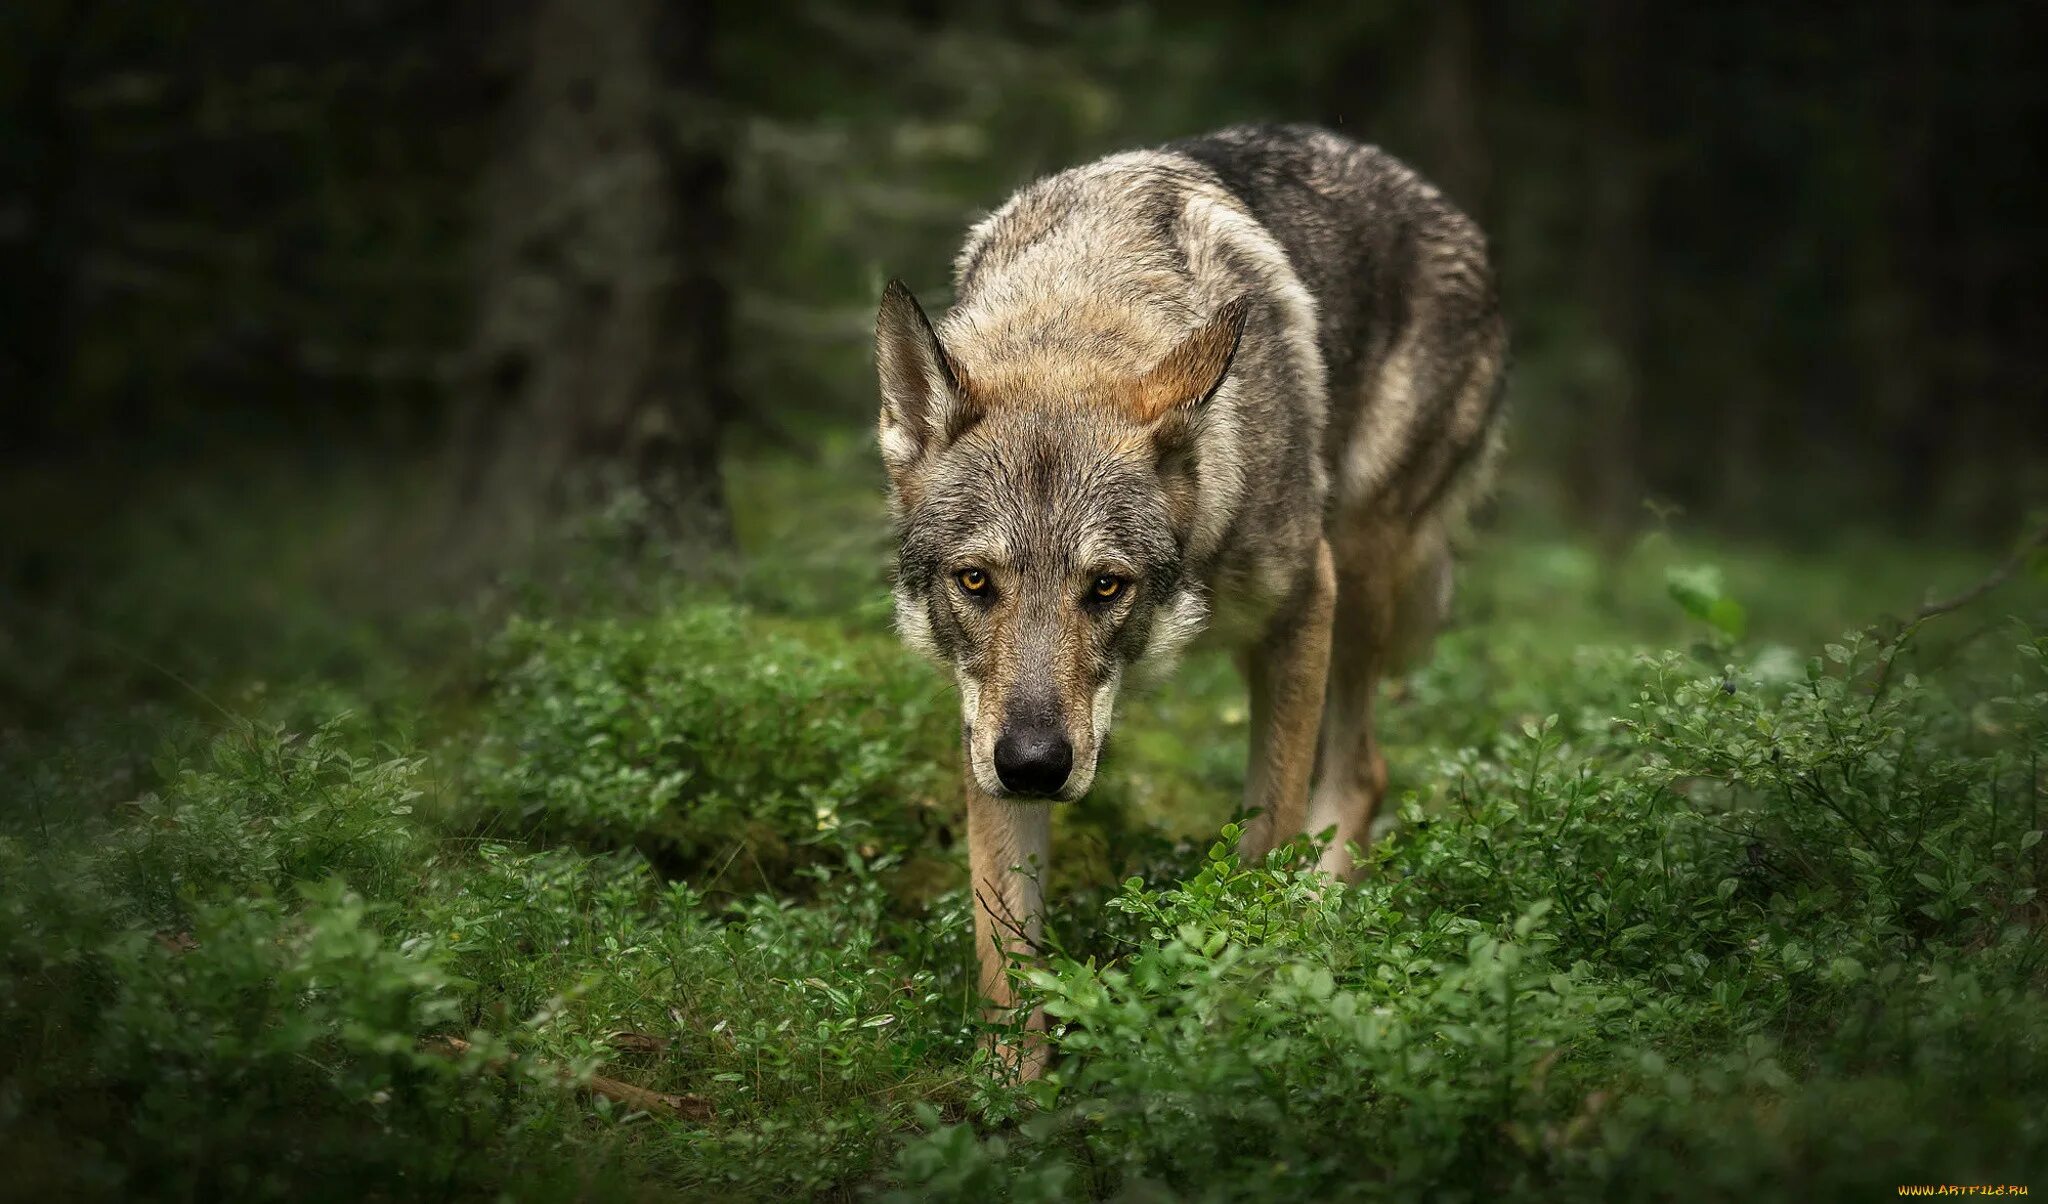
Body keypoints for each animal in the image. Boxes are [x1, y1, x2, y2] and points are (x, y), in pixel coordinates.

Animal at [868, 124, 1507, 1072]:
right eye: (976, 581)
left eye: (1106, 586)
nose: (1035, 766)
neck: (1080, 307)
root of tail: (1446, 207)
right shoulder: (984, 724)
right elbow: (1005, 952)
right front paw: (1011, 1091)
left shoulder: (1302, 607)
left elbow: (1264, 845)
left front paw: (1231, 1022)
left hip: (1358, 572)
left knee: (1361, 774)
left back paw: (1317, 939)